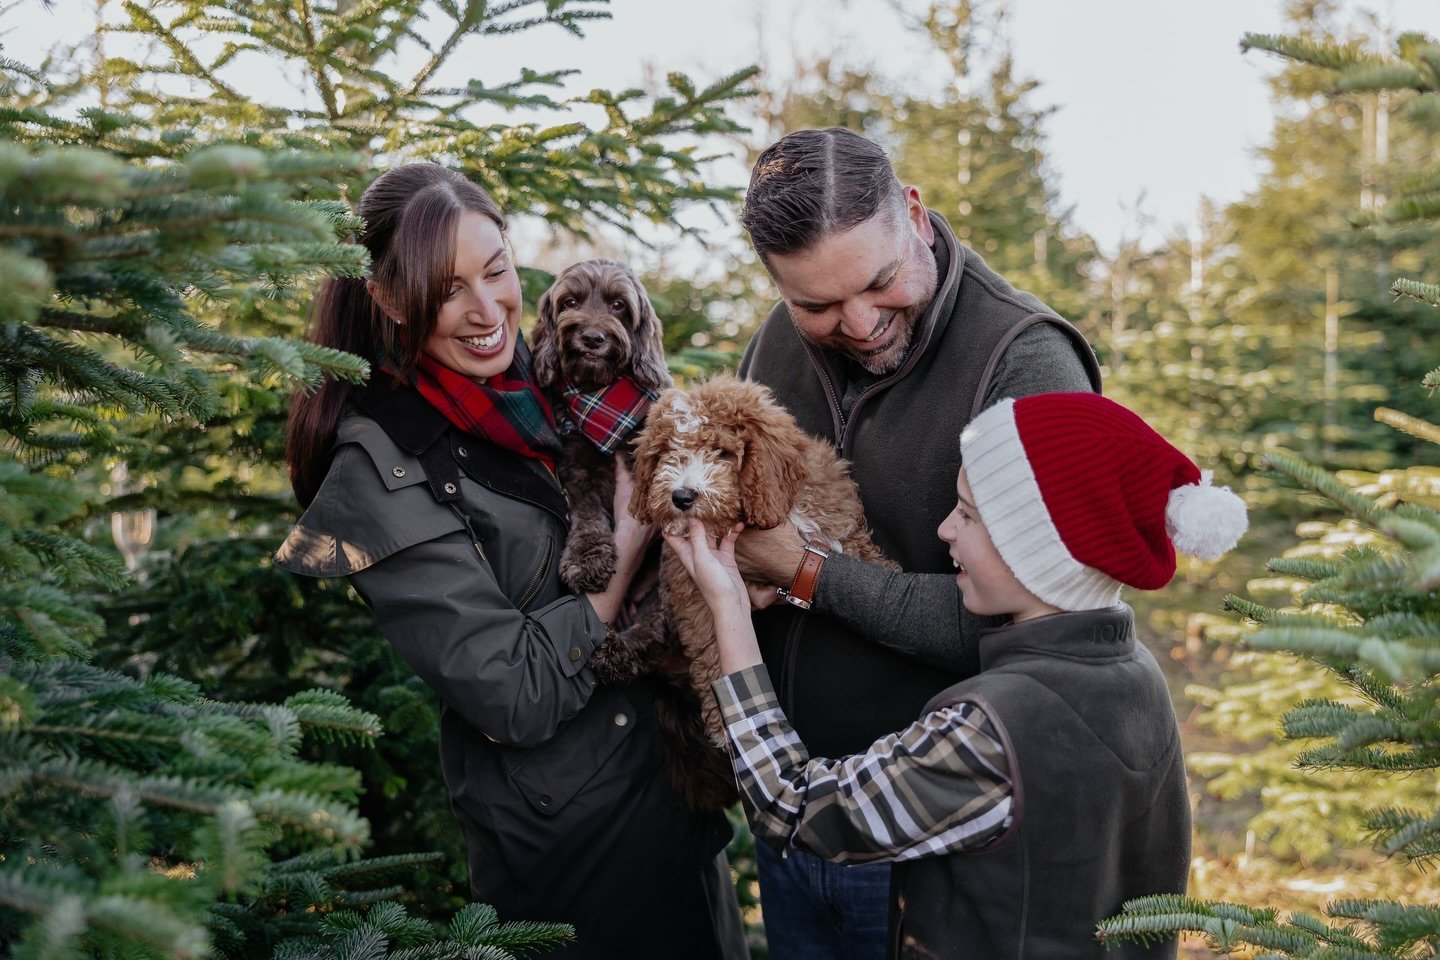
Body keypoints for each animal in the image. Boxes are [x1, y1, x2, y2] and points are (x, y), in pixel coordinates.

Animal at [629, 375, 895, 745]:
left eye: (723, 452)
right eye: (668, 451)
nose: (681, 497)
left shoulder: (829, 508)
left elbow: (851, 546)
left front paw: (885, 578)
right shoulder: (693, 588)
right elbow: (711, 643)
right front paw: (722, 721)